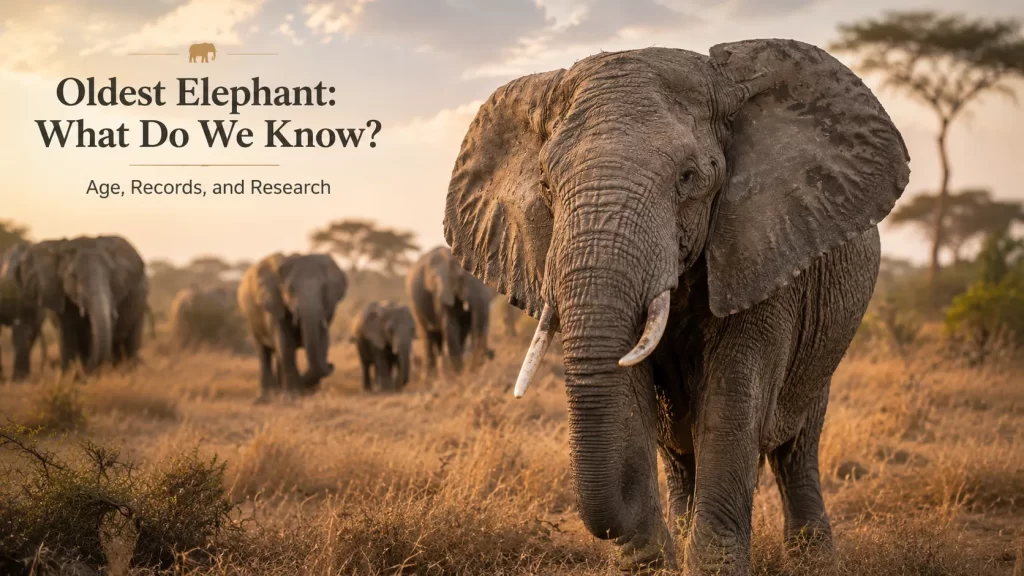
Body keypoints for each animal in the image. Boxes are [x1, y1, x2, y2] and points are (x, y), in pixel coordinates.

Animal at [9, 236, 149, 375]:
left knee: (130, 342)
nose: (83, 373)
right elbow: (66, 336)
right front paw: (69, 376)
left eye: (112, 274)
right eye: (73, 276)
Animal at [237, 253, 347, 399]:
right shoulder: (274, 303)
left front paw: (312, 393)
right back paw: (267, 396)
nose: (331, 364)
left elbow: (322, 343)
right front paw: (293, 395)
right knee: (264, 352)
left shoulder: (328, 308)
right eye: (290, 289)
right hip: (250, 320)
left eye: (324, 288)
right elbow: (285, 344)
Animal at [406, 246, 495, 376]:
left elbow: (463, 328)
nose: (490, 354)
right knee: (426, 335)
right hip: (414, 305)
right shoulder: (441, 292)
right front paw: (459, 375)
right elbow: (451, 327)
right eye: (461, 278)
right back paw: (430, 377)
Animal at [442, 40, 910, 574]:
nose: (648, 541)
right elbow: (631, 388)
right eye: (544, 185)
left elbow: (732, 398)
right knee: (680, 451)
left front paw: (711, 567)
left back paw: (811, 559)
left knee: (796, 445)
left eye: (689, 178)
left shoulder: (764, 245)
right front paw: (653, 563)